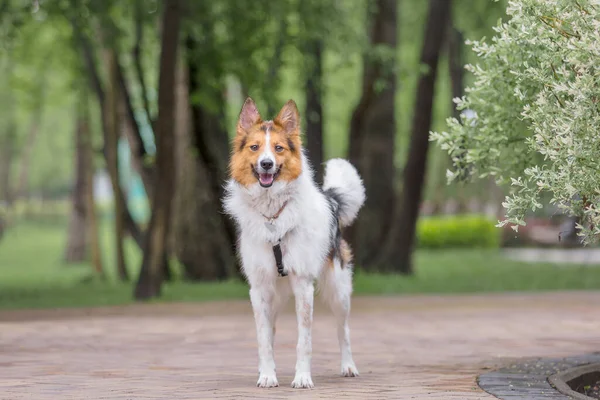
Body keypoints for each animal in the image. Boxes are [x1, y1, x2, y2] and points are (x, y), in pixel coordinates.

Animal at [224, 98, 366, 390]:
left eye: (278, 148)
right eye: (255, 147)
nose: (266, 164)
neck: (273, 217)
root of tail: (331, 200)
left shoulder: (303, 287)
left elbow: (305, 340)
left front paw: (302, 377)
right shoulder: (259, 289)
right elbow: (264, 338)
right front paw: (267, 375)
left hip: (339, 291)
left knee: (343, 330)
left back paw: (348, 365)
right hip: (275, 296)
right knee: (271, 330)